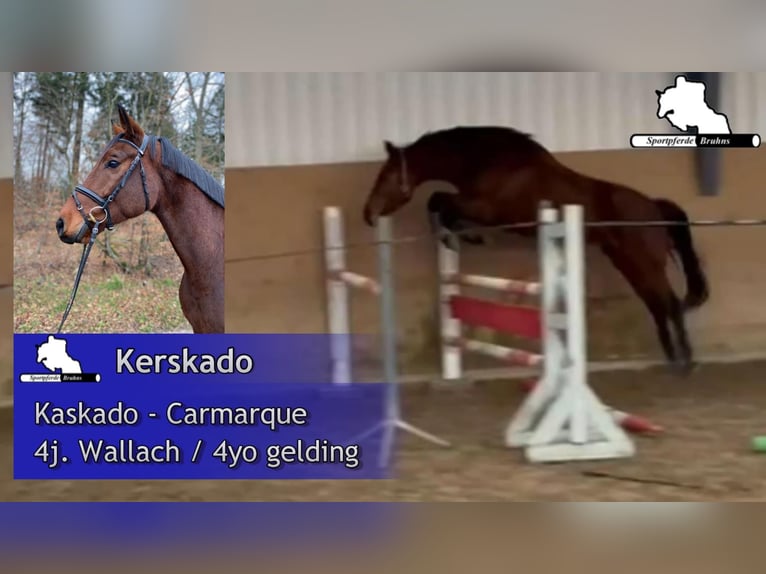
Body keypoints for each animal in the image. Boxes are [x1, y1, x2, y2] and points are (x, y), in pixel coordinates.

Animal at [364, 126, 712, 376]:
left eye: (387, 176)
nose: (368, 214)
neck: (489, 160)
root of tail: (653, 206)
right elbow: (439, 203)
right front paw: (460, 235)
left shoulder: (488, 210)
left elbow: (438, 201)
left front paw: (463, 236)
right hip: (628, 263)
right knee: (658, 305)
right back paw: (672, 358)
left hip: (643, 263)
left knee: (669, 303)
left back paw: (686, 362)